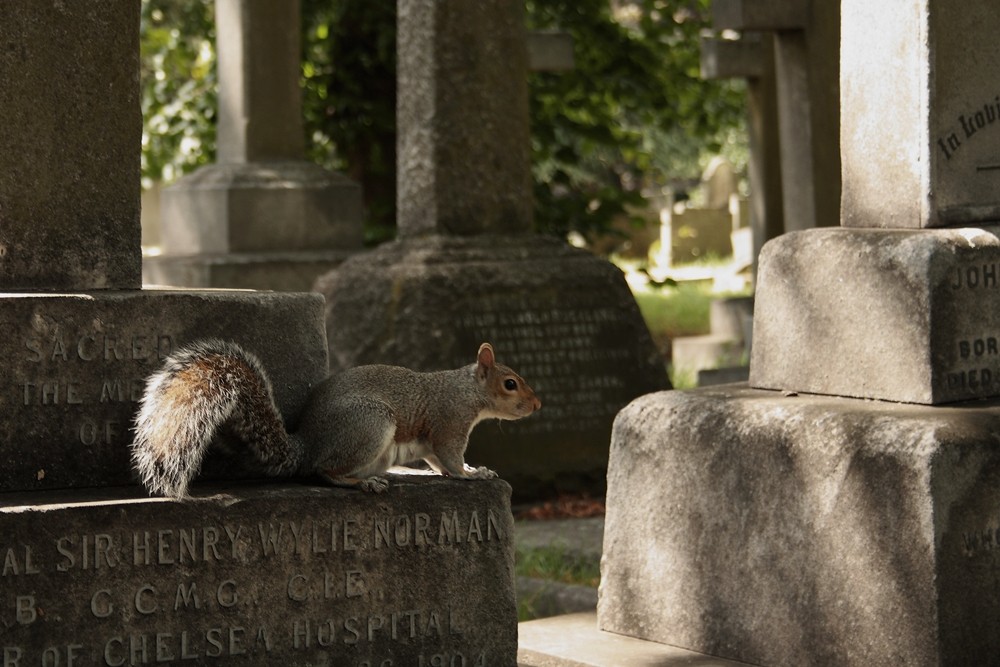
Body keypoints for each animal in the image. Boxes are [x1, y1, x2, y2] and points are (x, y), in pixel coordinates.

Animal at [132, 342, 544, 498]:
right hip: (370, 423)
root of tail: (307, 445)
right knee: (325, 471)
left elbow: (434, 460)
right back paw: (364, 482)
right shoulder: (450, 424)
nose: (538, 404)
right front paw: (474, 474)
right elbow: (452, 460)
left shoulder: (432, 440)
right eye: (510, 384)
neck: (467, 391)